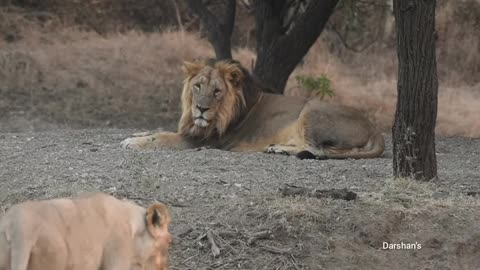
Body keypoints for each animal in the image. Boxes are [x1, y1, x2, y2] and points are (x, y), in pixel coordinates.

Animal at [122, 59, 384, 159]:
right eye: (197, 86)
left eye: (217, 91)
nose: (201, 109)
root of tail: (375, 128)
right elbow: (158, 131)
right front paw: (135, 134)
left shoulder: (203, 140)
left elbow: (163, 138)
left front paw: (132, 142)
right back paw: (276, 148)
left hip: (312, 109)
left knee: (318, 150)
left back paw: (280, 149)